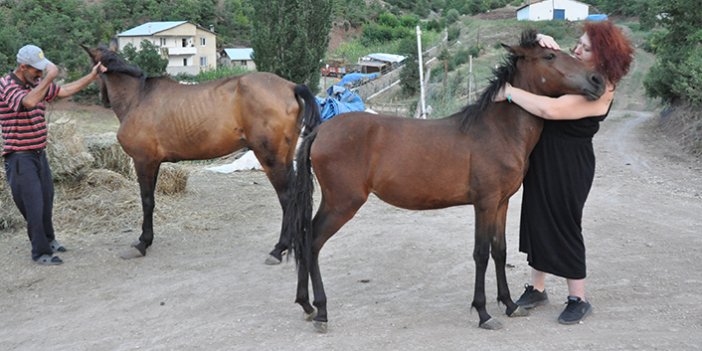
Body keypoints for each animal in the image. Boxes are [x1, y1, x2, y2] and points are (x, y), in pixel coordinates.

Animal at [83, 44, 322, 262]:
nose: (101, 98)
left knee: (287, 198)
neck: (138, 97)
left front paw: (143, 242)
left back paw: (279, 249)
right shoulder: (155, 163)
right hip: (286, 157)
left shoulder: (143, 161)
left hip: (271, 159)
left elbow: (147, 201)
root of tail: (291, 86)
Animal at [284, 30, 604, 332]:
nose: (598, 80)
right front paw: (484, 313)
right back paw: (321, 311)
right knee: (313, 242)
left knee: (305, 238)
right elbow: (481, 254)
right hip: (343, 203)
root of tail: (320, 131)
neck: (498, 130)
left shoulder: (501, 203)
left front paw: (511, 305)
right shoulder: (485, 204)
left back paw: (306, 305)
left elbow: (500, 251)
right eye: (549, 57)